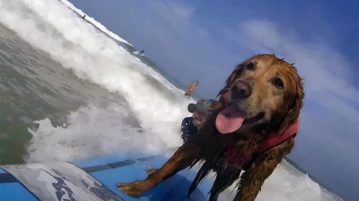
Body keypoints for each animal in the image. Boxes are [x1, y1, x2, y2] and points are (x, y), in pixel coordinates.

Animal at [117, 54, 304, 201]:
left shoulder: (259, 170)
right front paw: (138, 187)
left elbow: (247, 192)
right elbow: (169, 166)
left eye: (278, 83)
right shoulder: (205, 138)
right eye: (250, 66)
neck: (248, 136)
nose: (239, 88)